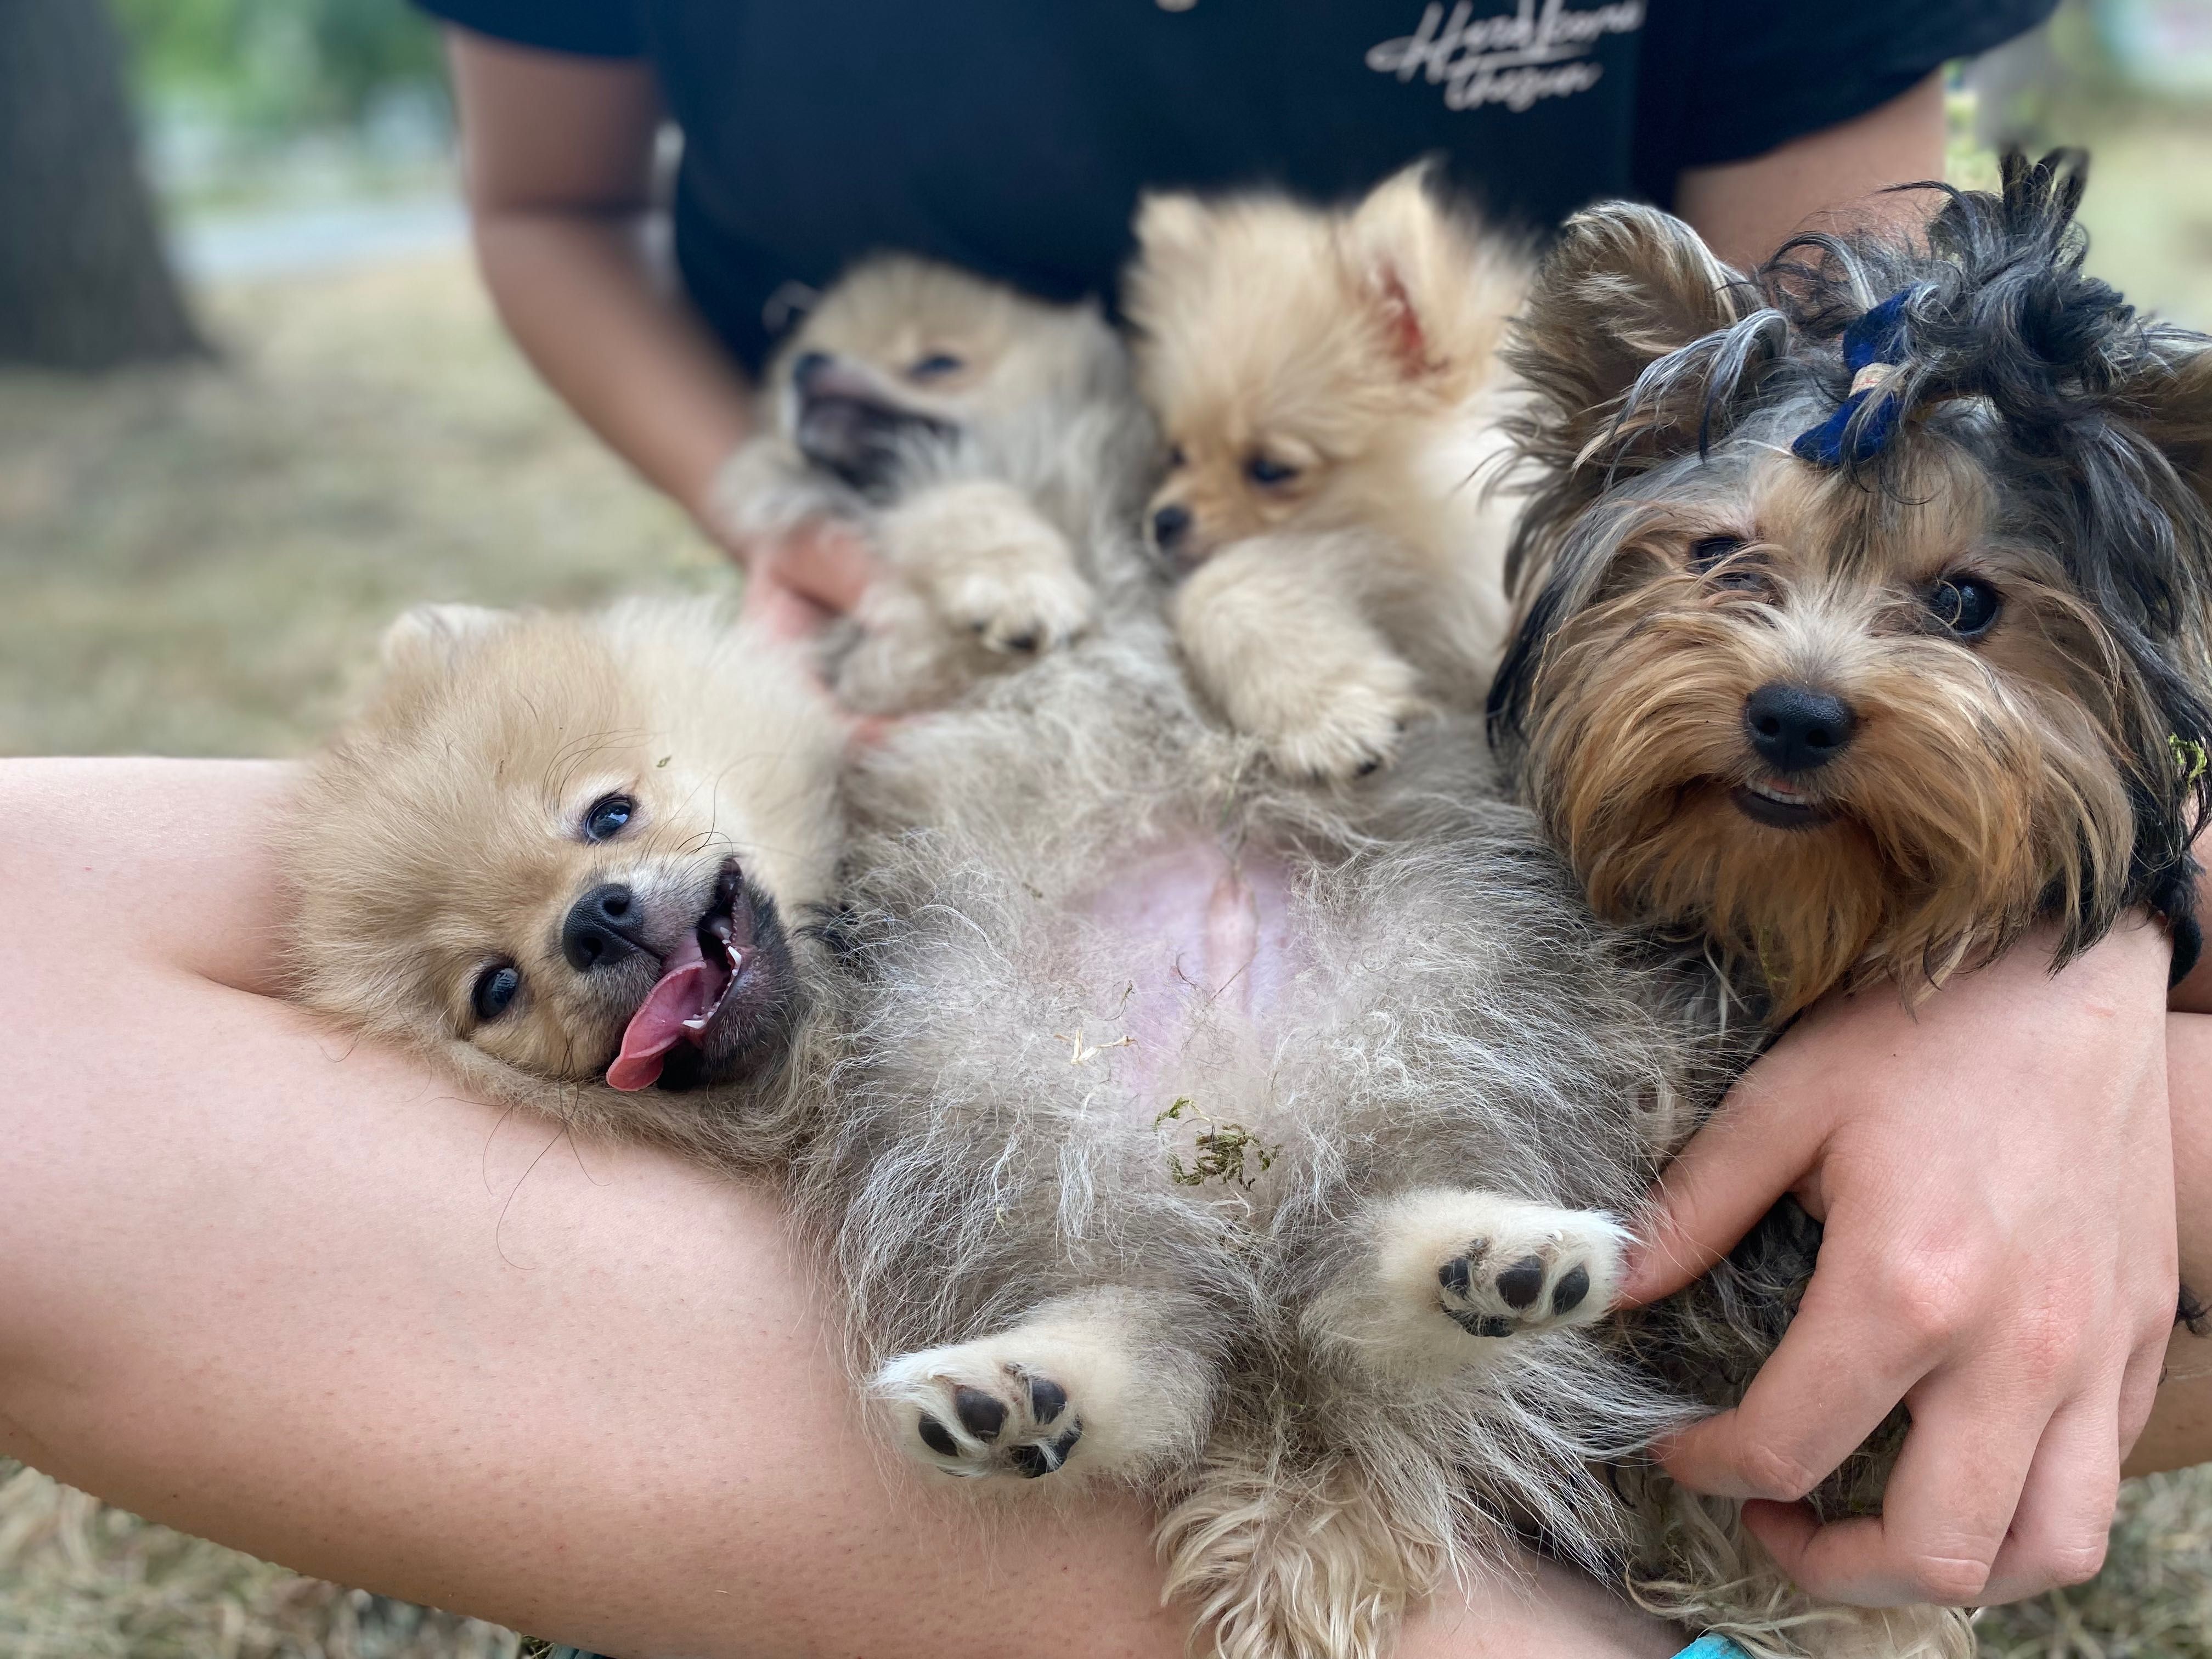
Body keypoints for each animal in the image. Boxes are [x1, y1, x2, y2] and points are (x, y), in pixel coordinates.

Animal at [1124, 166, 1539, 783]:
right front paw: (1331, 712)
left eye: (1270, 469)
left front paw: (1332, 717)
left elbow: (1218, 586)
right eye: (1177, 454)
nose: (1164, 521)